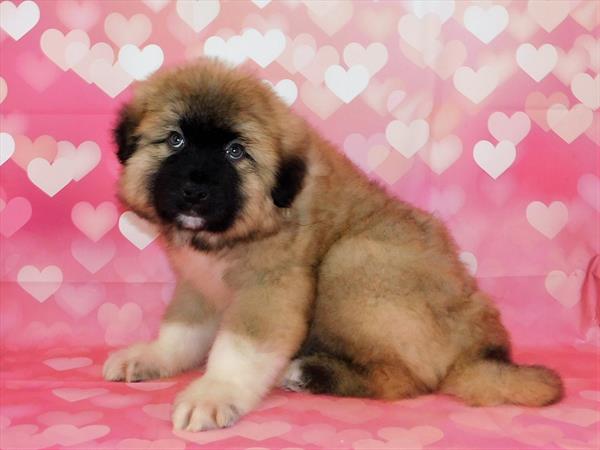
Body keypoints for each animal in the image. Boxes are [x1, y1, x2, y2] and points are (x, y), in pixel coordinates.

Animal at [104, 58, 564, 430]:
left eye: (236, 152)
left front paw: (213, 393)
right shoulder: (198, 284)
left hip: (352, 260)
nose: (194, 192)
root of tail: (479, 348)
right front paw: (150, 356)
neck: (228, 237)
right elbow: (180, 331)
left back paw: (306, 373)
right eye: (175, 140)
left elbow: (238, 350)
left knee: (407, 381)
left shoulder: (271, 289)